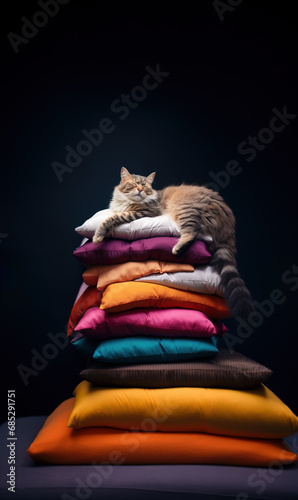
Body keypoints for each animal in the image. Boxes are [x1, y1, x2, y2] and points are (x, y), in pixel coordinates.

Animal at [92, 166, 254, 318]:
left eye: (144, 186)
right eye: (134, 184)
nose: (139, 190)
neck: (129, 201)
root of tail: (228, 219)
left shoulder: (144, 212)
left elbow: (112, 218)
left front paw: (97, 236)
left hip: (185, 209)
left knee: (192, 233)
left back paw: (177, 249)